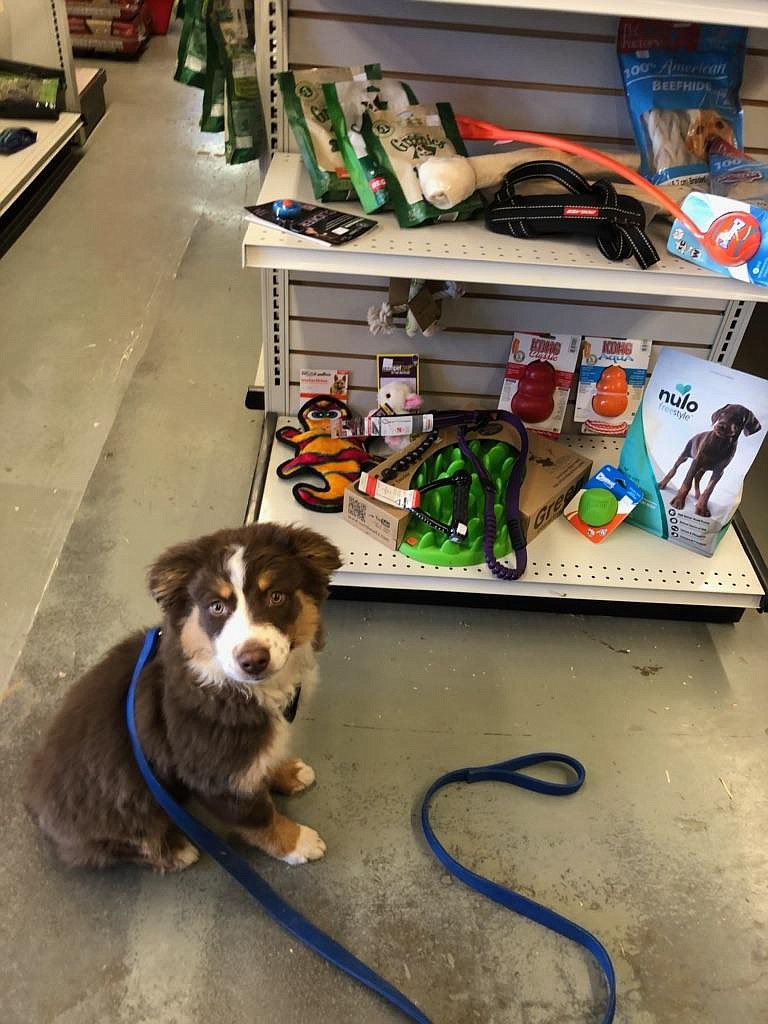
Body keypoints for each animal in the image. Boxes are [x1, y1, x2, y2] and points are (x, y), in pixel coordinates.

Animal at [25, 528, 342, 872]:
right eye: (216, 607)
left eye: (276, 596)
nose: (253, 660)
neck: (239, 689)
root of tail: (35, 805)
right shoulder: (216, 776)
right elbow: (259, 817)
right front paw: (297, 843)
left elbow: (266, 761)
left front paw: (289, 772)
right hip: (127, 805)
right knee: (116, 846)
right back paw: (176, 850)